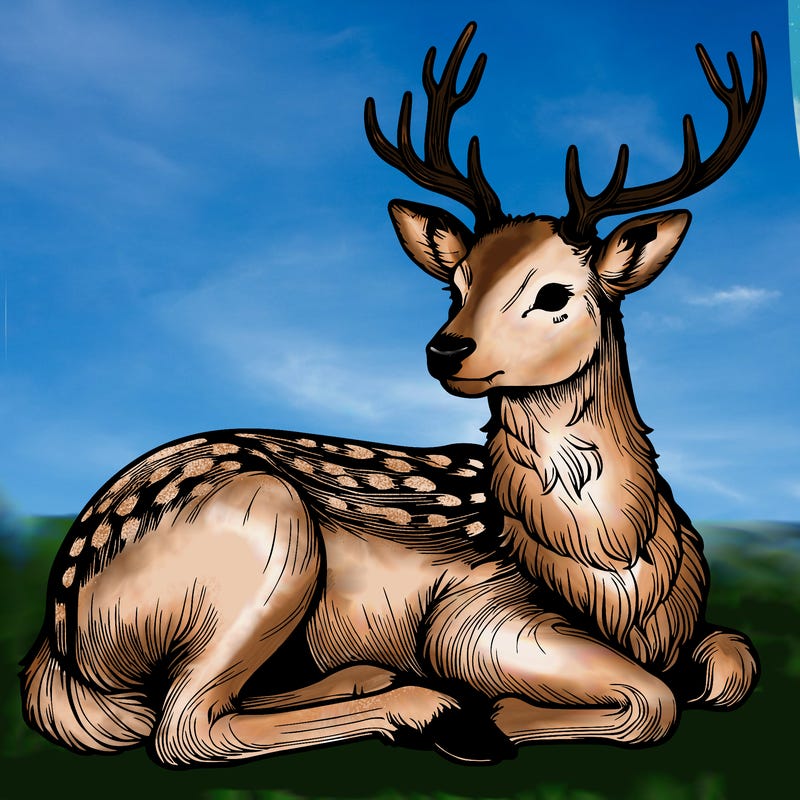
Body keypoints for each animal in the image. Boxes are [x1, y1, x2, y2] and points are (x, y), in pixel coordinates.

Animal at [21, 22, 765, 768]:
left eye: (555, 293)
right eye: (457, 284)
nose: (445, 348)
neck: (617, 574)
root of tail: (58, 641)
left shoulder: (695, 629)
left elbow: (733, 659)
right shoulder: (476, 613)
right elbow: (653, 699)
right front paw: (494, 715)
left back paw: (370, 676)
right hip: (268, 534)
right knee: (183, 724)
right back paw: (432, 710)